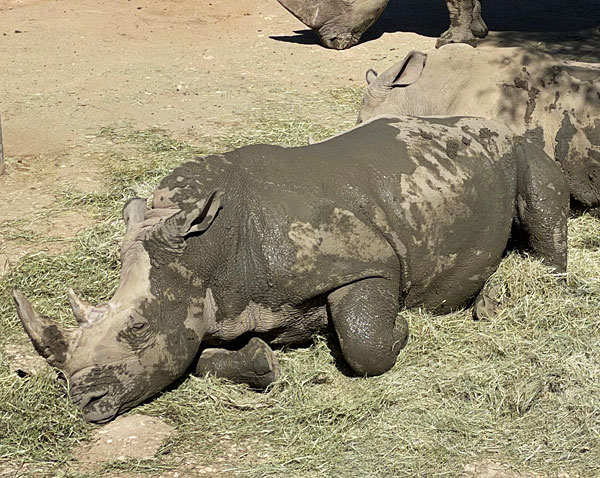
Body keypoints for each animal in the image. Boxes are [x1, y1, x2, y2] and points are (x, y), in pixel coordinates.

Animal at [14, 116, 568, 422]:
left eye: (139, 328)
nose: (85, 403)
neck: (209, 249)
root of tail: (491, 123)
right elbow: (197, 356)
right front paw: (262, 359)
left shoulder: (369, 264)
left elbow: (363, 342)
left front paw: (403, 330)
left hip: (520, 147)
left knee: (540, 197)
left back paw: (499, 302)